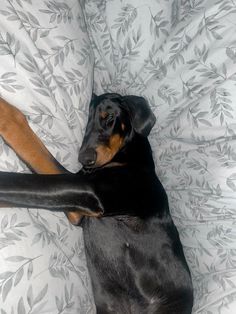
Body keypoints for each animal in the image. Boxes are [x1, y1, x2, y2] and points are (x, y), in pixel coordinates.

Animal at [0, 94, 193, 314]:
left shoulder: (92, 191)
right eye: (87, 121)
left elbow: (20, 181)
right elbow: (37, 154)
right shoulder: (79, 208)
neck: (129, 157)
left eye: (109, 117)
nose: (84, 158)